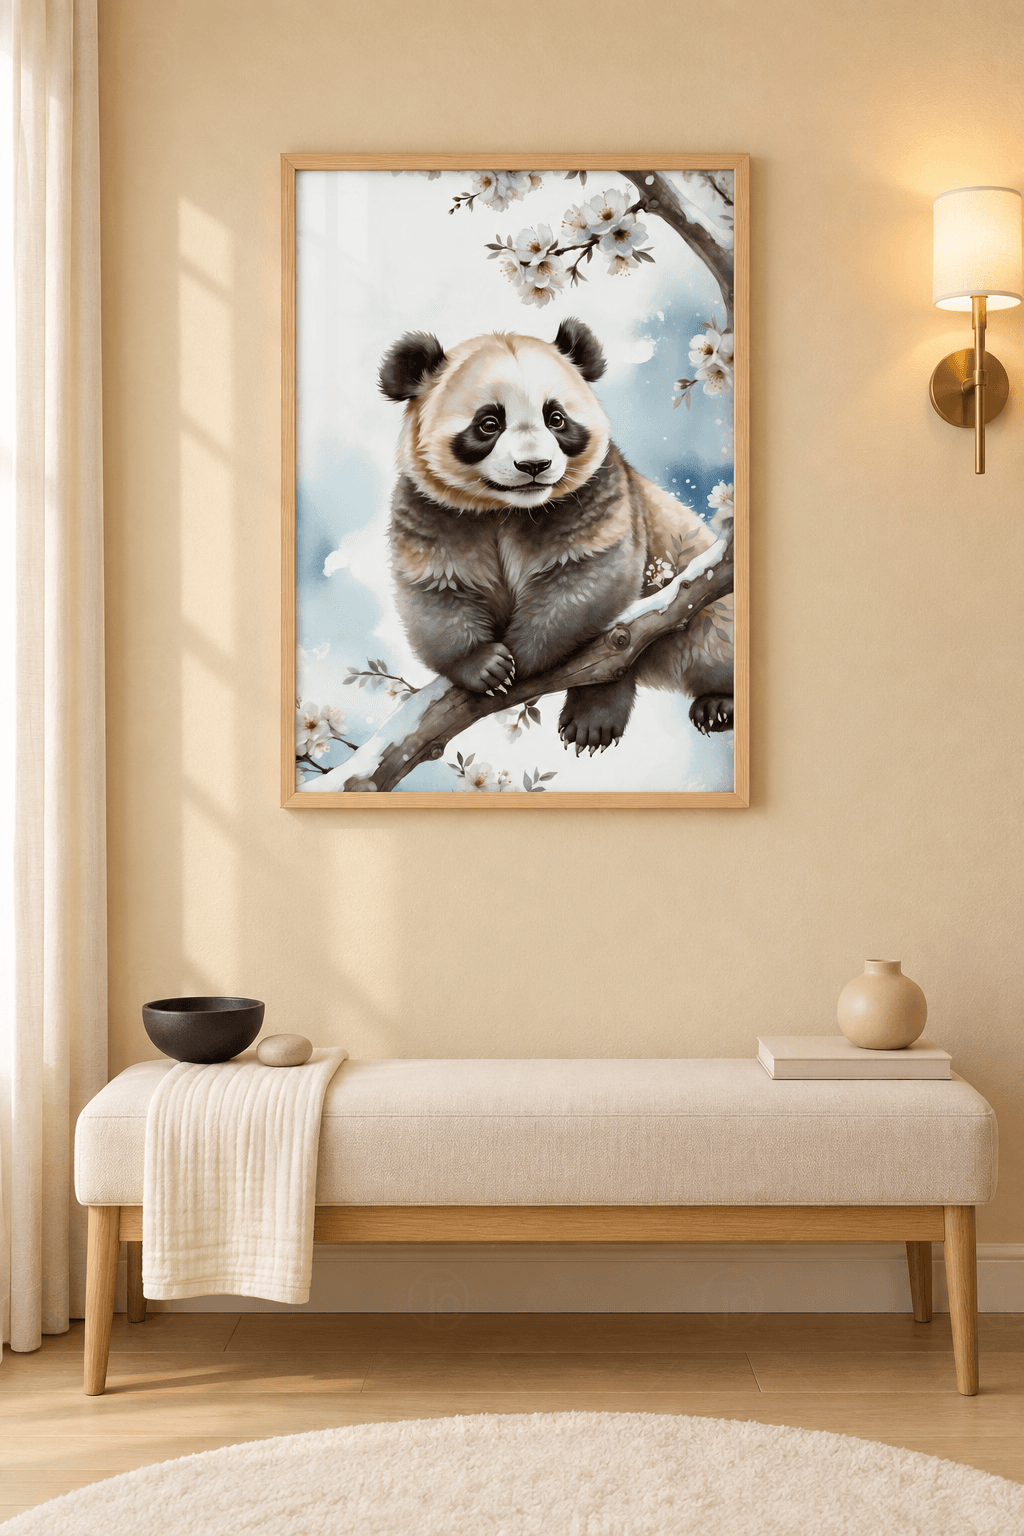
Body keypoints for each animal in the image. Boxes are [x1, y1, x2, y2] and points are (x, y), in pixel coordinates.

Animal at [378, 317, 733, 751]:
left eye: (556, 418)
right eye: (489, 423)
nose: (534, 465)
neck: (508, 509)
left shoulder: (594, 496)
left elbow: (583, 578)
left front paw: (523, 657)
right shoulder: (435, 512)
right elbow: (437, 590)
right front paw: (485, 666)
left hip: (689, 584)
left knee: (704, 640)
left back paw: (708, 705)